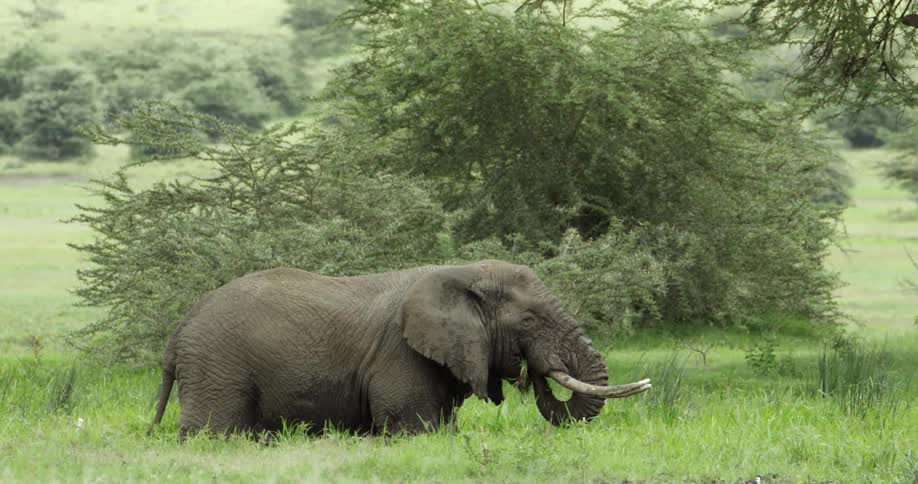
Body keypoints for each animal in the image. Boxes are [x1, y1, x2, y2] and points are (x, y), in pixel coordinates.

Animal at [149, 260, 650, 437]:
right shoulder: (401, 356)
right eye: (529, 322)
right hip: (218, 366)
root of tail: (178, 333)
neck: (463, 273)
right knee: (213, 431)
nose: (534, 371)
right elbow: (413, 427)